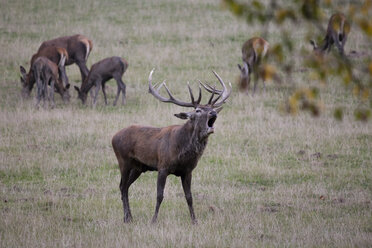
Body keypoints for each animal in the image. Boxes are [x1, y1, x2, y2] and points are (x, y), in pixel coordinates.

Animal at [112, 69, 231, 224]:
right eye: (198, 110)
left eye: (211, 108)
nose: (213, 112)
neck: (181, 153)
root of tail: (113, 137)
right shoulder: (163, 166)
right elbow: (159, 195)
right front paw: (153, 220)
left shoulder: (187, 171)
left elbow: (189, 197)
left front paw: (194, 220)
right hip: (123, 161)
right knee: (122, 186)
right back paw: (127, 218)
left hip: (138, 167)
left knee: (125, 186)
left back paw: (129, 217)